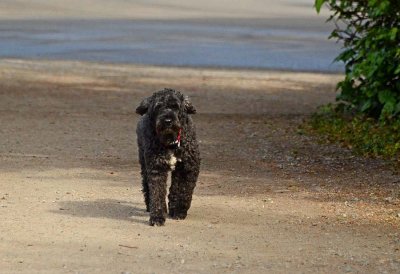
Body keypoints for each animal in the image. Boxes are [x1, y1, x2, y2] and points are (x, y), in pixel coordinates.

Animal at [137, 89, 200, 226]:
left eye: (175, 106)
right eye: (158, 106)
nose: (167, 121)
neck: (171, 140)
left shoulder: (188, 168)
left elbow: (184, 191)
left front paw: (180, 211)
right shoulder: (156, 169)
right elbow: (157, 193)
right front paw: (157, 217)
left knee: (175, 188)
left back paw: (173, 207)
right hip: (144, 163)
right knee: (146, 184)